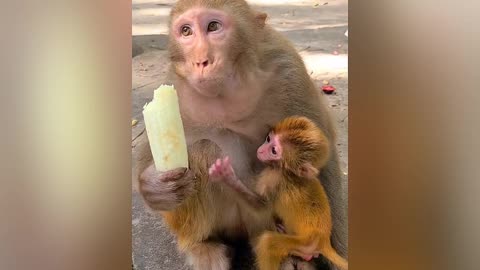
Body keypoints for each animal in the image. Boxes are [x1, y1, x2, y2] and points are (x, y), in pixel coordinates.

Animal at [208, 116, 346, 270]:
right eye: (268, 139)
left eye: (274, 150)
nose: (261, 150)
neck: (287, 170)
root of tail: (324, 242)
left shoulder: (274, 179)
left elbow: (261, 208)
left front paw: (227, 177)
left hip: (305, 244)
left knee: (268, 242)